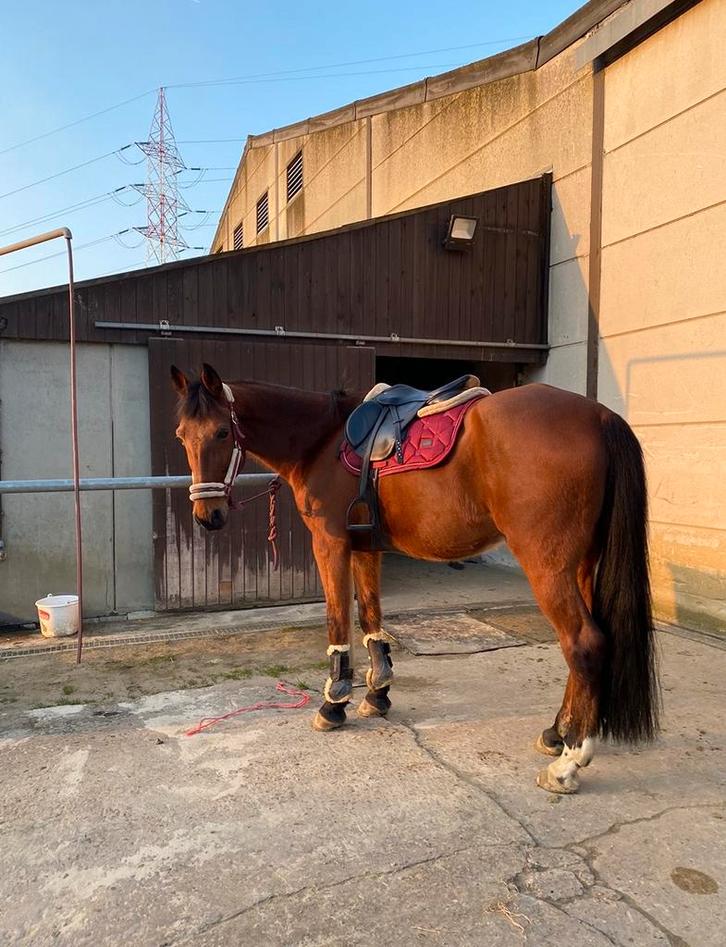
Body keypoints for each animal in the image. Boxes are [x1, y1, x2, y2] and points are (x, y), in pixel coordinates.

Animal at [170, 362, 659, 794]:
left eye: (222, 432)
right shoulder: (366, 549)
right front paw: (378, 695)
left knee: (583, 644)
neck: (321, 440)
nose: (208, 517)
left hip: (547, 565)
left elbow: (338, 621)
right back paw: (557, 733)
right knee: (587, 645)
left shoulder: (330, 545)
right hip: (582, 565)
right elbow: (370, 619)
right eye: (181, 436)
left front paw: (334, 703)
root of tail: (599, 416)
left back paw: (568, 764)